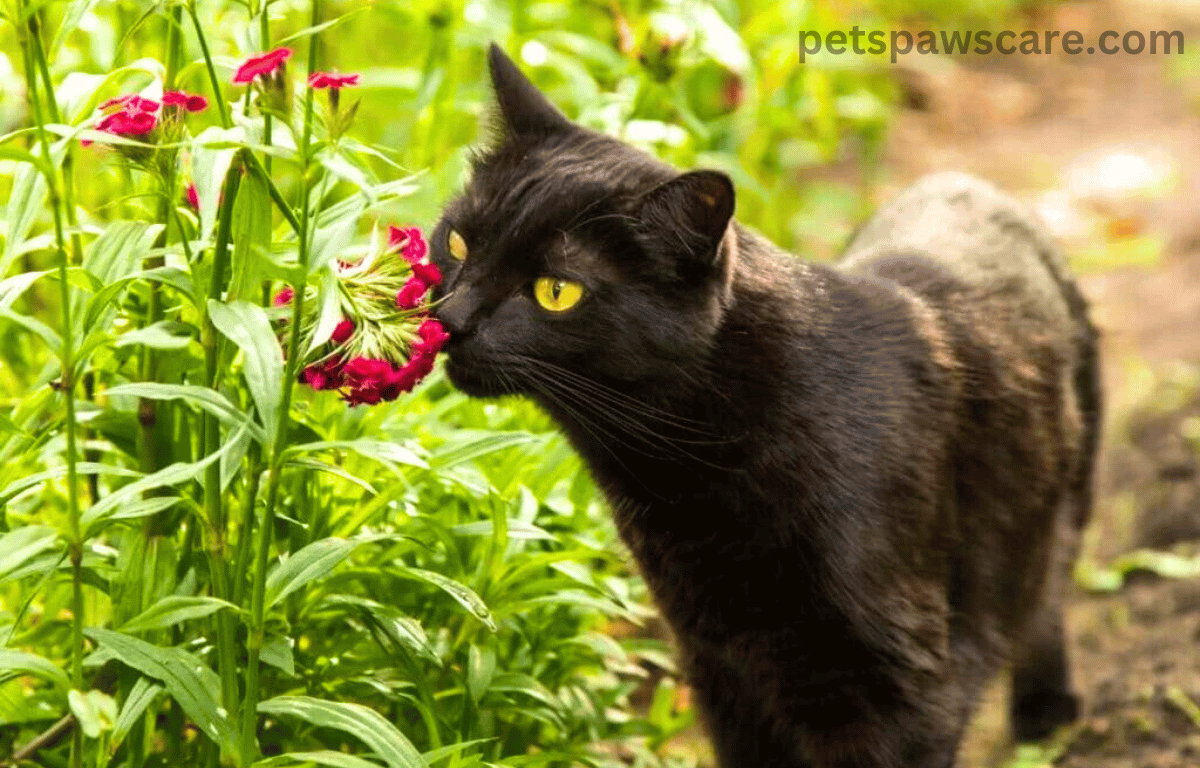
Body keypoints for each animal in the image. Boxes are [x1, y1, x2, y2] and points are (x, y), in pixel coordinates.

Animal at [429, 45, 1099, 763]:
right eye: (459, 242)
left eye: (556, 291)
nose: (451, 320)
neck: (689, 469)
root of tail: (969, 183)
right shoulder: (721, 666)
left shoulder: (900, 683)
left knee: (1045, 593)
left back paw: (1047, 712)